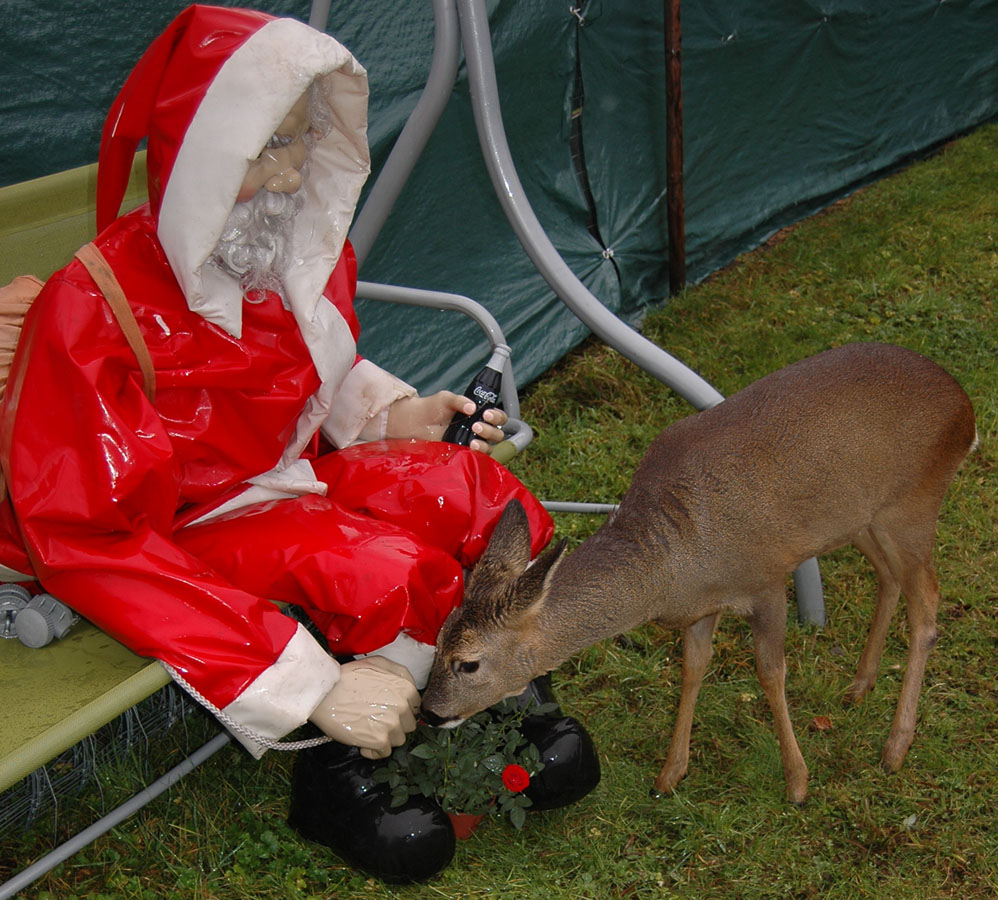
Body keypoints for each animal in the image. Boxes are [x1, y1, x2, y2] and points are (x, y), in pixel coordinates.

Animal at [422, 344, 976, 800]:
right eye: (439, 638)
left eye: (468, 663)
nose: (429, 712)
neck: (672, 563)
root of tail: (966, 411)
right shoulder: (701, 607)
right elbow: (693, 669)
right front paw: (670, 774)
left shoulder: (767, 578)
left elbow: (770, 672)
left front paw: (797, 782)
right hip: (860, 516)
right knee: (890, 578)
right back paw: (860, 685)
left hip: (914, 502)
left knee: (927, 603)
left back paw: (895, 747)